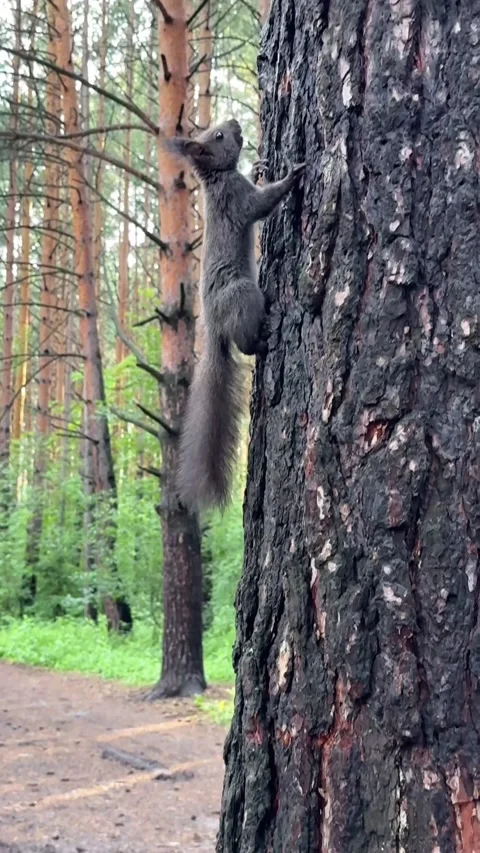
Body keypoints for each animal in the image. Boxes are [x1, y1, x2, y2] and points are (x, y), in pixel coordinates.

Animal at [165, 118, 305, 510]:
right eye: (218, 136)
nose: (235, 123)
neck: (217, 180)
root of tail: (214, 325)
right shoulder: (238, 199)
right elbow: (261, 204)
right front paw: (290, 178)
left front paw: (260, 168)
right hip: (242, 294)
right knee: (244, 343)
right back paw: (263, 338)